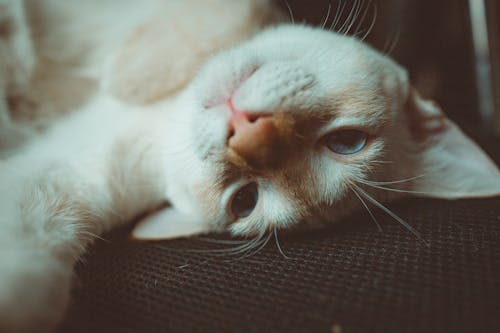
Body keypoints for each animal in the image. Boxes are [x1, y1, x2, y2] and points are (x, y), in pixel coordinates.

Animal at [0, 0, 500, 332]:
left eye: (245, 199)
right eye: (347, 142)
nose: (246, 133)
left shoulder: (68, 178)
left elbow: (31, 280)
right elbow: (234, 9)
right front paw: (134, 69)